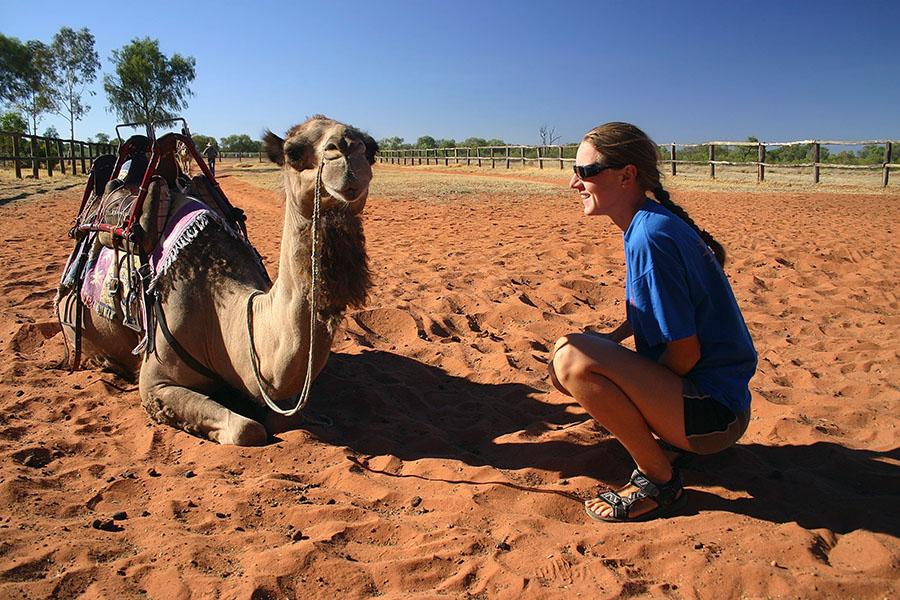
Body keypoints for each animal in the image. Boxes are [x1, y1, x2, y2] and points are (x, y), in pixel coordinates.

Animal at [58, 116, 377, 445]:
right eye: (293, 152)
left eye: (372, 149)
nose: (347, 148)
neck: (221, 314)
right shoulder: (155, 382)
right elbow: (247, 429)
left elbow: (285, 417)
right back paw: (104, 362)